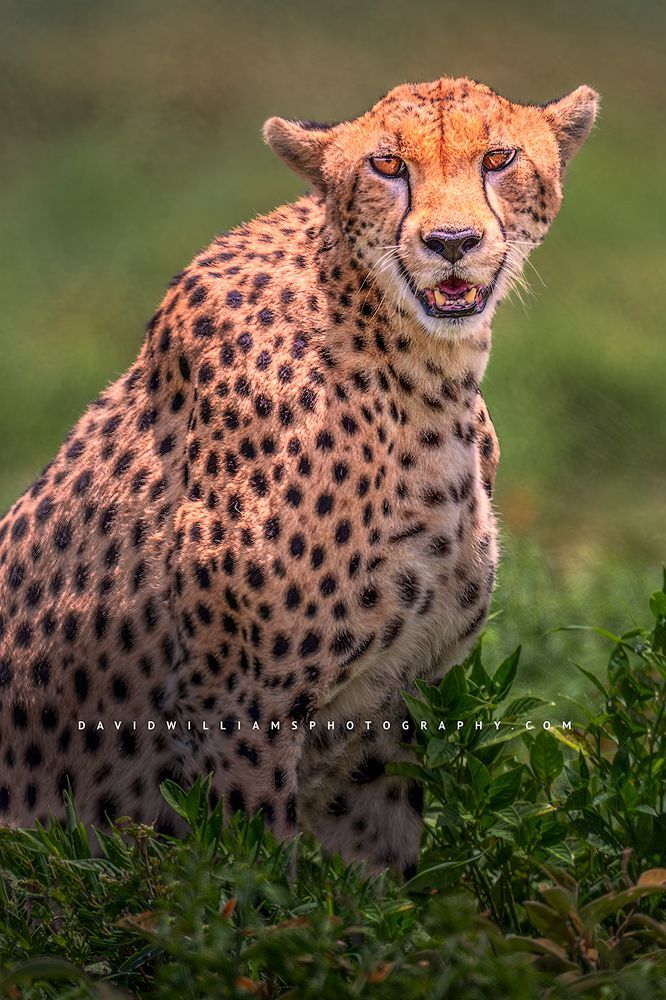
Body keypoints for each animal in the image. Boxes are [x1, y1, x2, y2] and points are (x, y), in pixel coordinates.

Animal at [0, 76, 598, 876]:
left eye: (498, 158)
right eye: (387, 165)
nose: (452, 243)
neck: (422, 372)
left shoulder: (386, 713)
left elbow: (381, 874)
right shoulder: (242, 710)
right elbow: (261, 881)